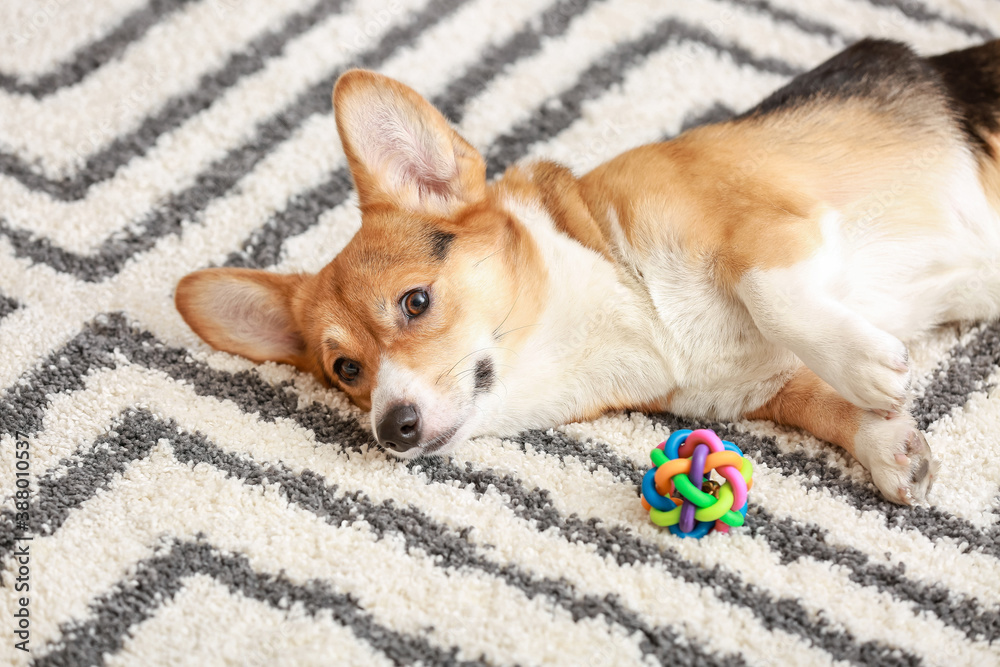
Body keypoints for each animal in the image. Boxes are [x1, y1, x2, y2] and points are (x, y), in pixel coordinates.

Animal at [176, 37, 1000, 506]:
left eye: (414, 302)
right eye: (346, 369)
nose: (393, 429)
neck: (635, 320)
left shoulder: (764, 223)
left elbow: (772, 293)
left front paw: (866, 363)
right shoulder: (761, 386)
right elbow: (826, 405)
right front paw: (890, 446)